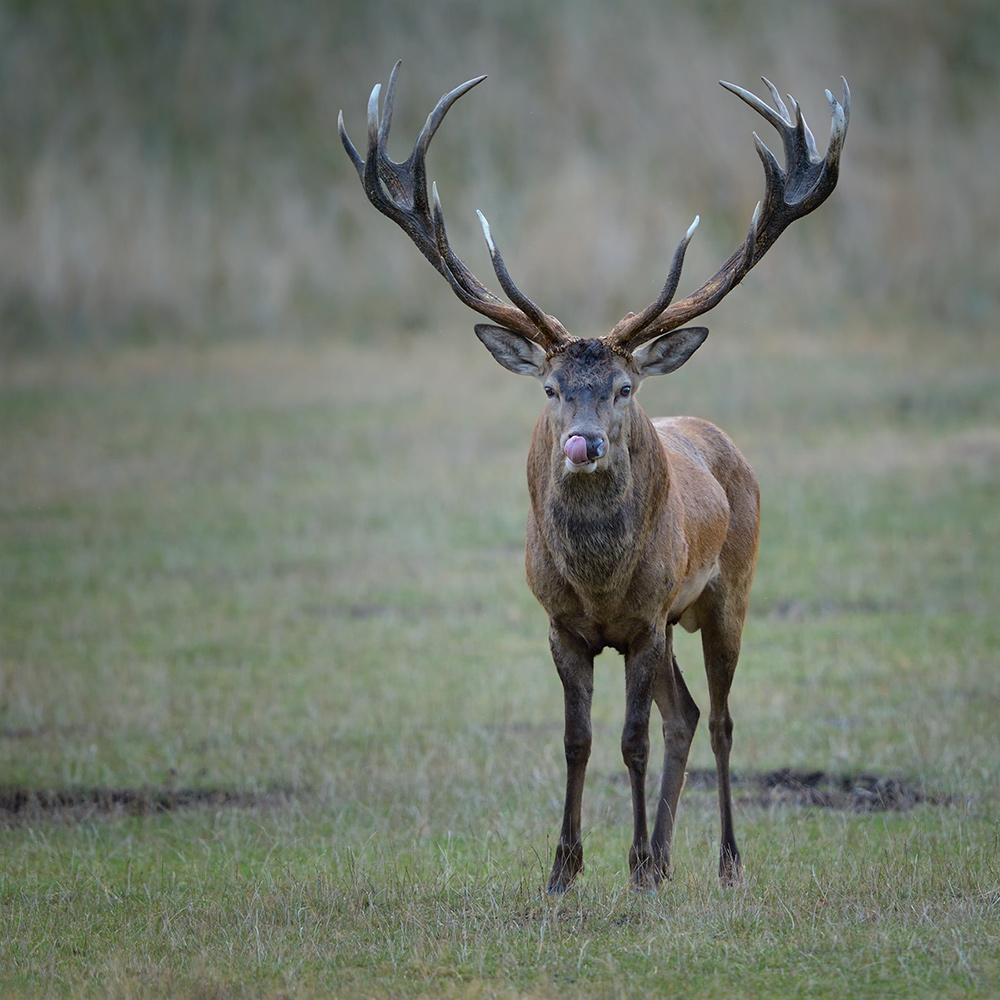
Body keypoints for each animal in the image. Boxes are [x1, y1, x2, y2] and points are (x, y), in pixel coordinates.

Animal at [340, 62, 848, 892]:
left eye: (623, 388)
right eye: (550, 389)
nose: (583, 446)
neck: (601, 584)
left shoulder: (643, 620)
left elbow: (629, 740)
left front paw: (631, 865)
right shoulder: (562, 623)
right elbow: (578, 740)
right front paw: (566, 869)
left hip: (727, 592)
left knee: (721, 718)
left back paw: (721, 861)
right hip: (675, 622)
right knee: (687, 715)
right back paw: (668, 858)